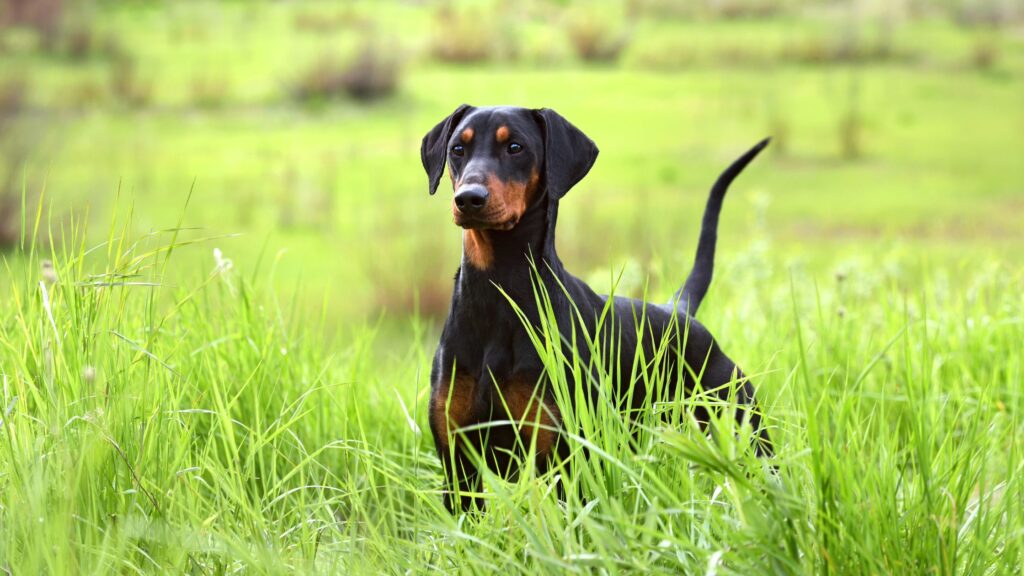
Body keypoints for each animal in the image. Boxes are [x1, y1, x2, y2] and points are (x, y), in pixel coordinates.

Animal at [417, 104, 770, 510]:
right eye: (458, 149)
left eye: (516, 147)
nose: (469, 198)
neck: (498, 292)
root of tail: (678, 311)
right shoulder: (458, 466)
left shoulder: (562, 459)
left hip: (744, 426)